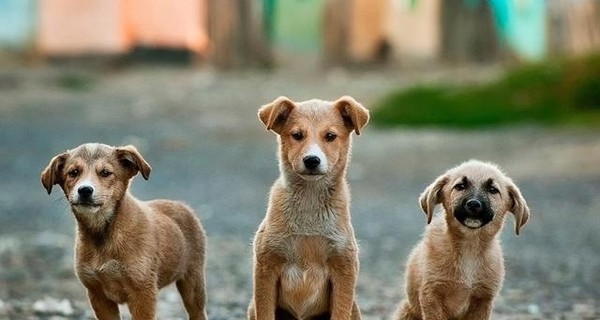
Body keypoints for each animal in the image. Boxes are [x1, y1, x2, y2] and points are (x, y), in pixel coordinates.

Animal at [41, 144, 206, 320]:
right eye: (73, 172)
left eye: (105, 173)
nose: (84, 190)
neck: (104, 233)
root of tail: (181, 205)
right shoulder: (97, 293)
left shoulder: (142, 291)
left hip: (193, 283)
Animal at [246, 95, 368, 320]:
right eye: (297, 135)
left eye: (330, 136)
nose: (312, 160)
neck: (309, 203)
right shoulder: (266, 265)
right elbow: (265, 311)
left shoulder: (344, 267)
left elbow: (340, 312)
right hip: (252, 307)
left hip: (355, 308)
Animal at [396, 160, 532, 320]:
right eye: (460, 186)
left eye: (493, 190)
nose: (473, 204)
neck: (469, 246)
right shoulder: (431, 294)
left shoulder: (483, 299)